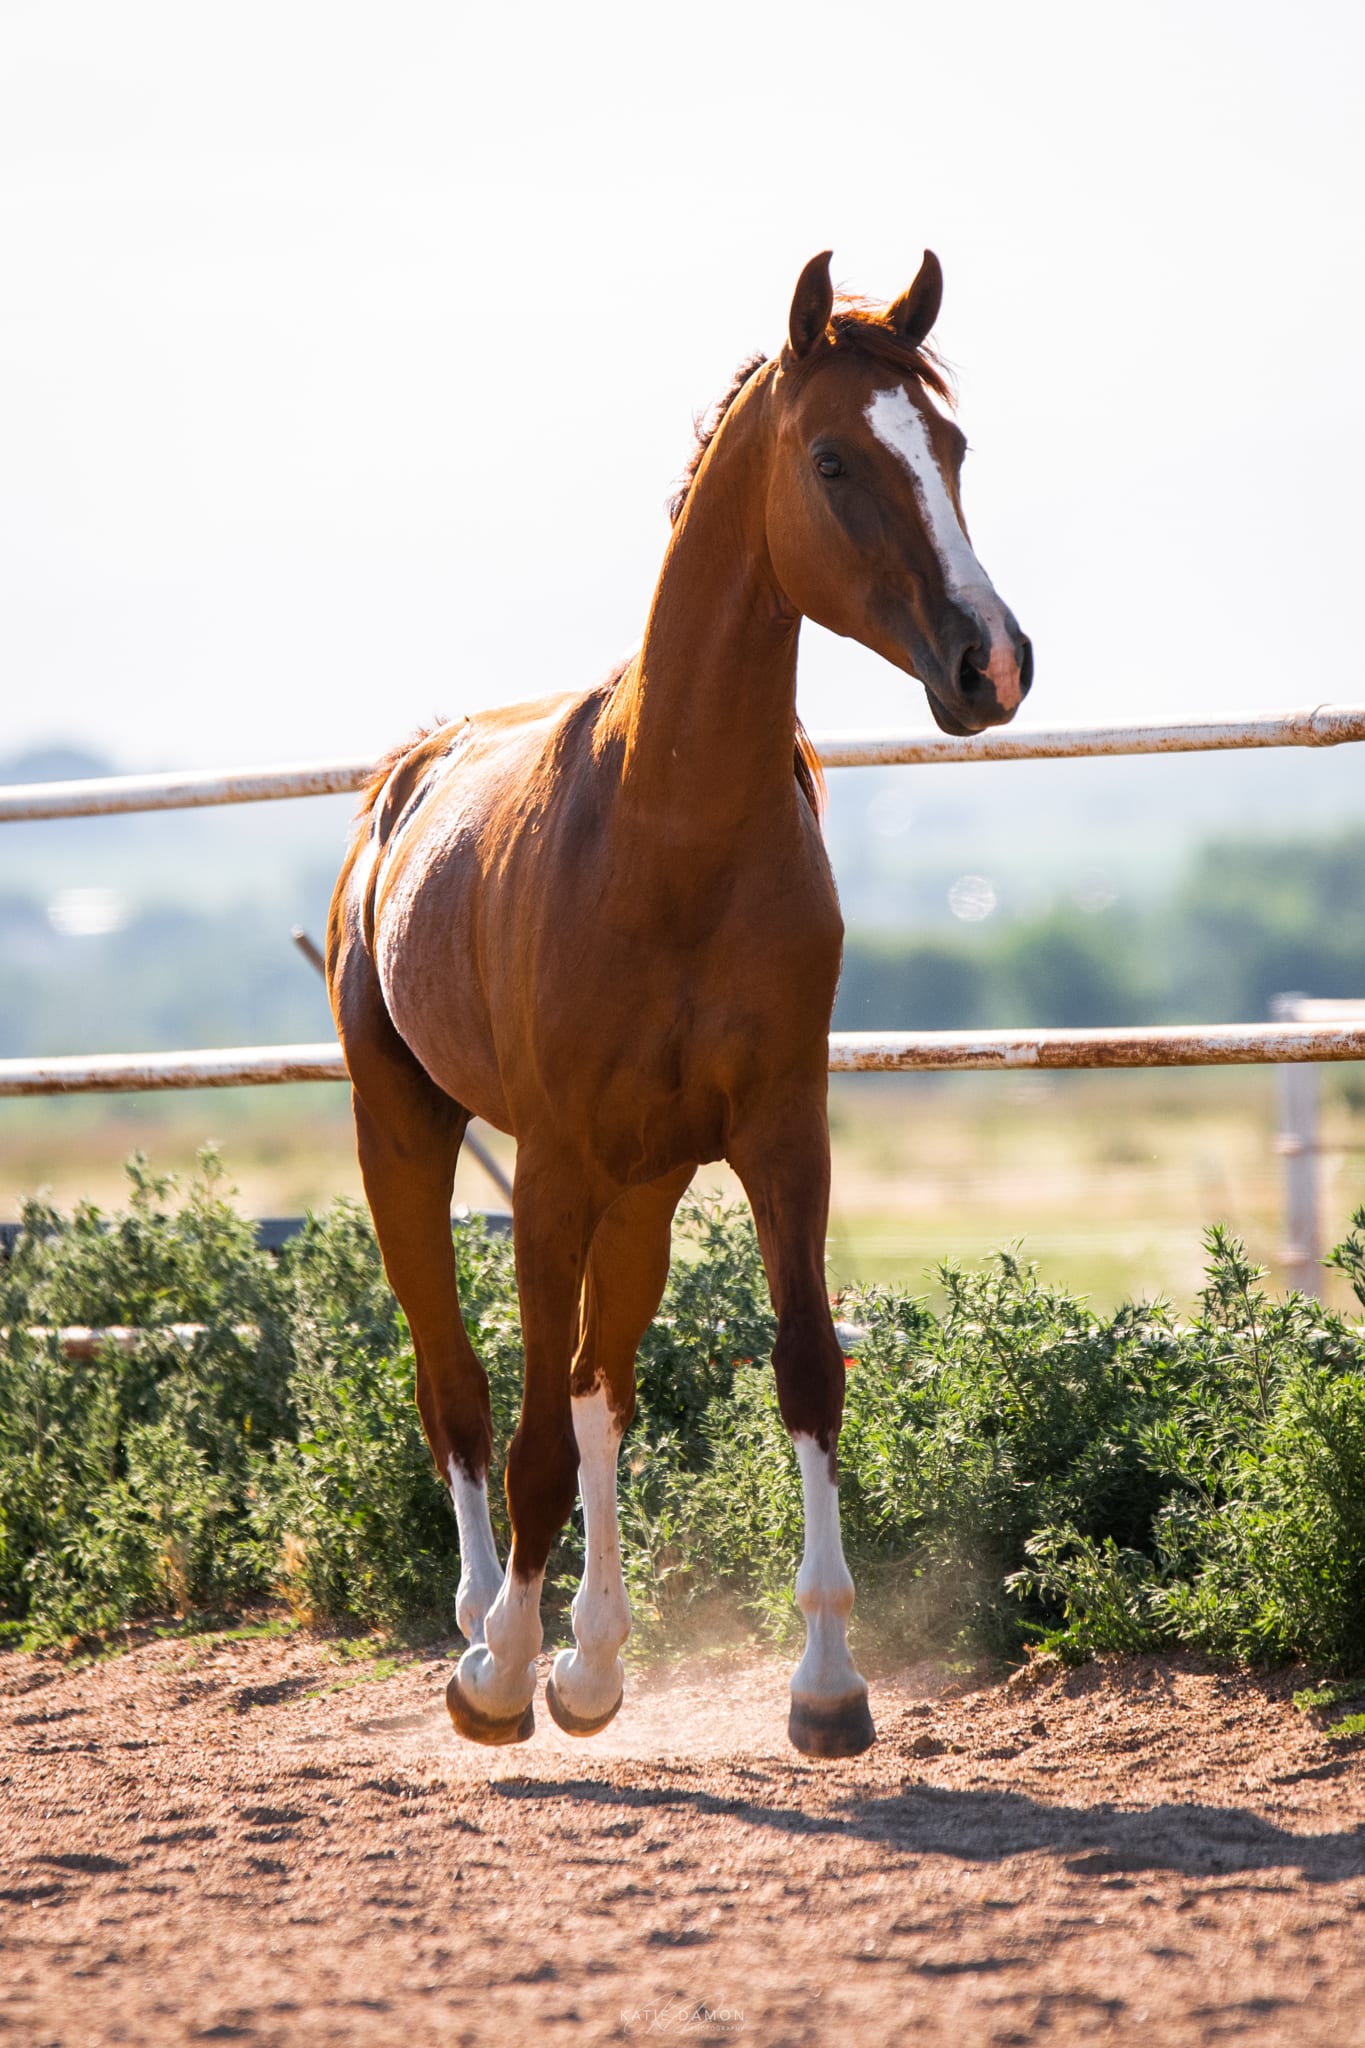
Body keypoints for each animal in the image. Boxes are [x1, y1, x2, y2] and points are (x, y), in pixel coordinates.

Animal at [326, 249, 1031, 1758]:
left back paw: (591, 1662)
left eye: (950, 449)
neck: (670, 825)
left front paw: (827, 1685)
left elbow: (801, 1367)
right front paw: (495, 1678)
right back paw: (483, 1627)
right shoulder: (549, 1165)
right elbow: (526, 1427)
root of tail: (410, 773)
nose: (992, 663)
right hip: (405, 1133)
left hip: (643, 1183)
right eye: (832, 457)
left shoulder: (778, 1135)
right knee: (461, 1386)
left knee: (603, 1387)